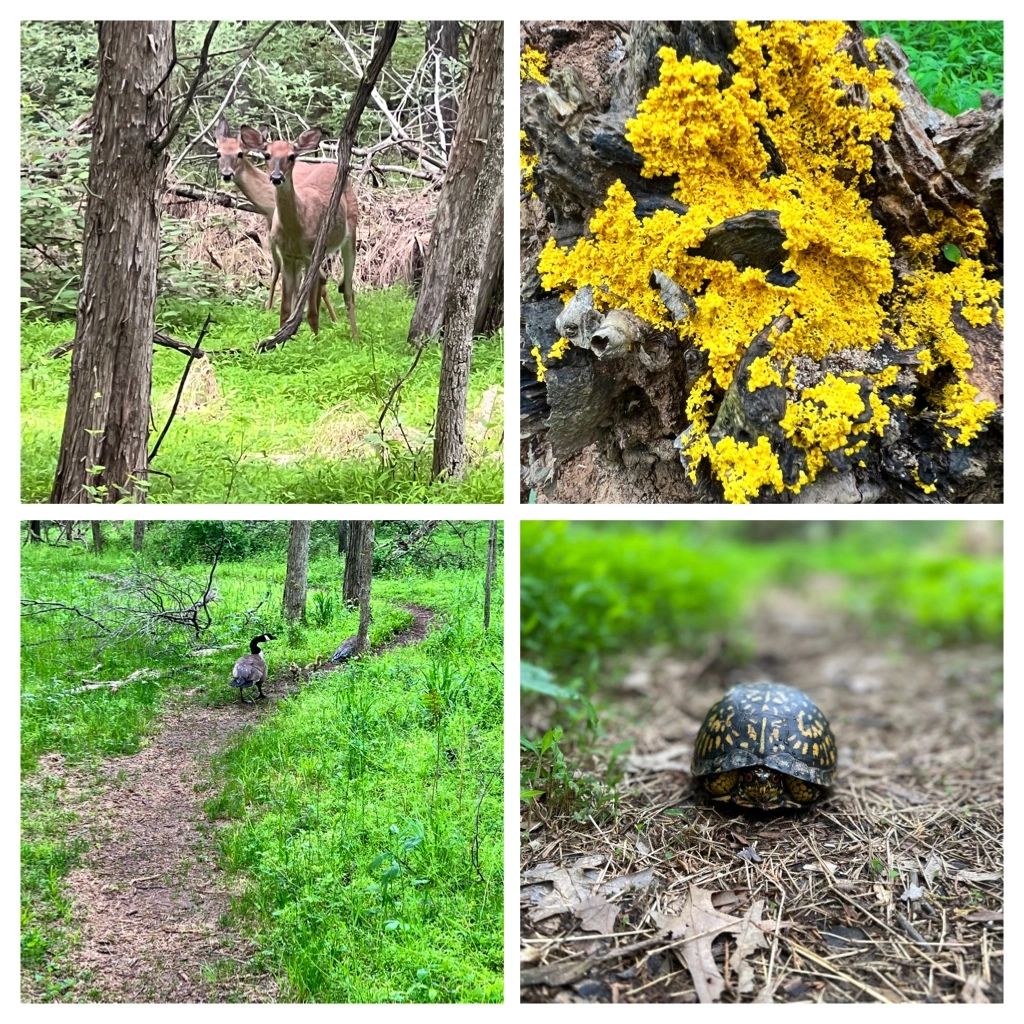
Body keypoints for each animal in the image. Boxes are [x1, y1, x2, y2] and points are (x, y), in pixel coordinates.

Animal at [211, 118, 339, 323]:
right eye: (218, 153)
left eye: (240, 153)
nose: (226, 174)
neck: (268, 201)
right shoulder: (270, 224)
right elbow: (277, 267)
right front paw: (271, 307)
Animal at [237, 124, 358, 335]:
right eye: (267, 155)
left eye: (292, 156)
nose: (276, 177)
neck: (295, 229)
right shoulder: (287, 256)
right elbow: (285, 309)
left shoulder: (311, 254)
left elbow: (311, 312)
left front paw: (315, 338)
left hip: (351, 233)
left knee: (348, 289)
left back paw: (355, 337)